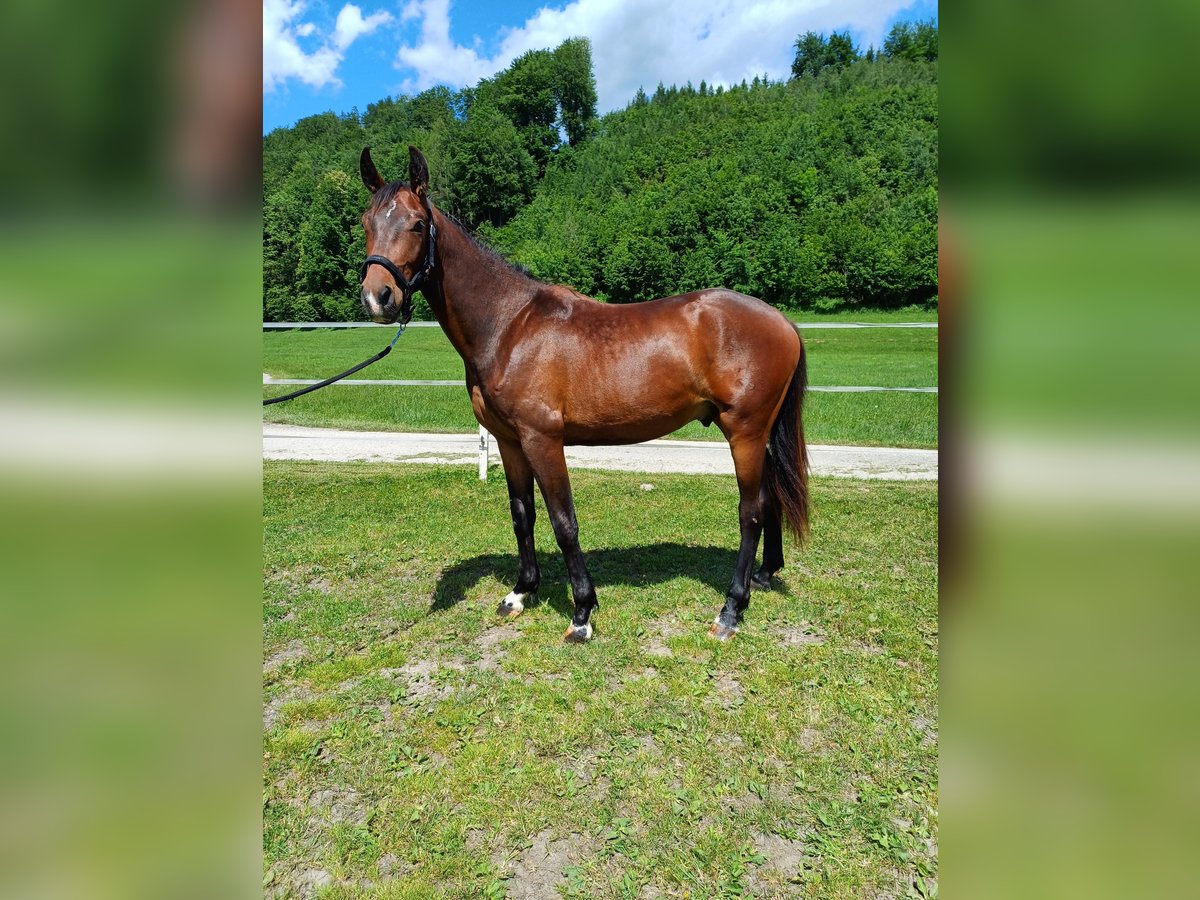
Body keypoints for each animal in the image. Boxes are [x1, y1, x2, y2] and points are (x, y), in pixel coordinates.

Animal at [355, 146, 806, 643]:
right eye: (366, 222)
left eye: (417, 224)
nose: (378, 298)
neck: (509, 326)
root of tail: (781, 322)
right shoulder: (510, 442)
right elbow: (522, 514)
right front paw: (521, 593)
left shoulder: (543, 441)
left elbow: (563, 522)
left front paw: (582, 613)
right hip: (759, 435)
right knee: (769, 499)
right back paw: (764, 574)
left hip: (744, 432)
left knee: (751, 511)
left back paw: (730, 610)